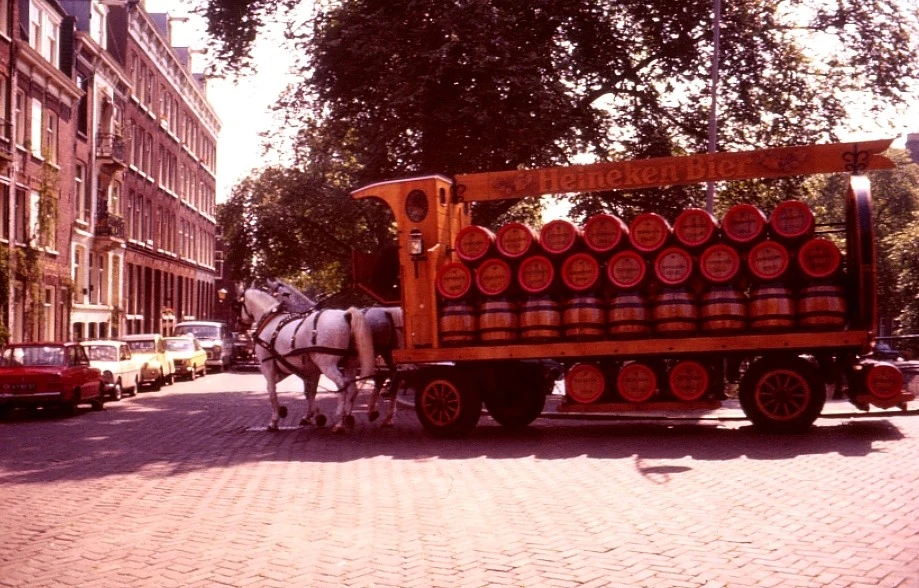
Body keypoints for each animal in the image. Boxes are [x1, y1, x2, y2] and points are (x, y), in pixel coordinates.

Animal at [243, 290, 380, 432]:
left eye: (239, 303)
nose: (241, 324)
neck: (271, 322)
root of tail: (345, 315)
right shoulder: (307, 370)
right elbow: (309, 392)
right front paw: (312, 415)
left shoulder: (267, 365)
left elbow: (271, 390)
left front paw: (275, 420)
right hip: (349, 364)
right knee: (352, 388)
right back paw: (347, 418)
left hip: (327, 365)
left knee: (343, 384)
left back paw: (341, 419)